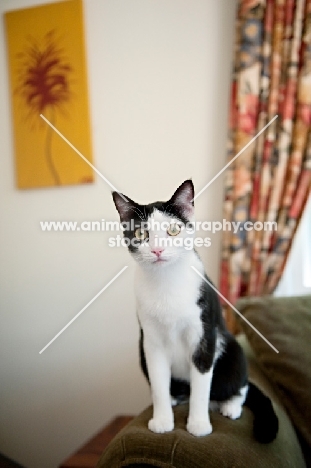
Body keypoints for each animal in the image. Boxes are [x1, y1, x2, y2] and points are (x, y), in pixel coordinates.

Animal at [113, 179, 280, 442]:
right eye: (141, 233)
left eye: (173, 230)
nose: (157, 250)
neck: (166, 281)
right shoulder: (151, 341)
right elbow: (158, 384)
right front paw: (162, 419)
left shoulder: (204, 335)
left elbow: (202, 387)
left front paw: (199, 424)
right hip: (141, 350)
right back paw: (176, 397)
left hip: (230, 349)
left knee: (239, 384)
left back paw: (230, 405)